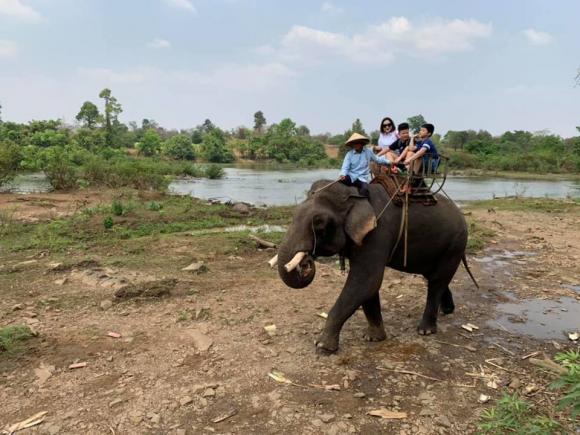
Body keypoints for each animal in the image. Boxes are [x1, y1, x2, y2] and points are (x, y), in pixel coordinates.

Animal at [276, 180, 476, 354]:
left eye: (319, 223)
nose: (306, 262)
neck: (355, 194)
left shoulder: (377, 234)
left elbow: (366, 281)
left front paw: (323, 347)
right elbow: (368, 287)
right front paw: (373, 338)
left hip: (454, 245)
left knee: (437, 281)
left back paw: (425, 330)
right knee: (435, 278)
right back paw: (447, 310)